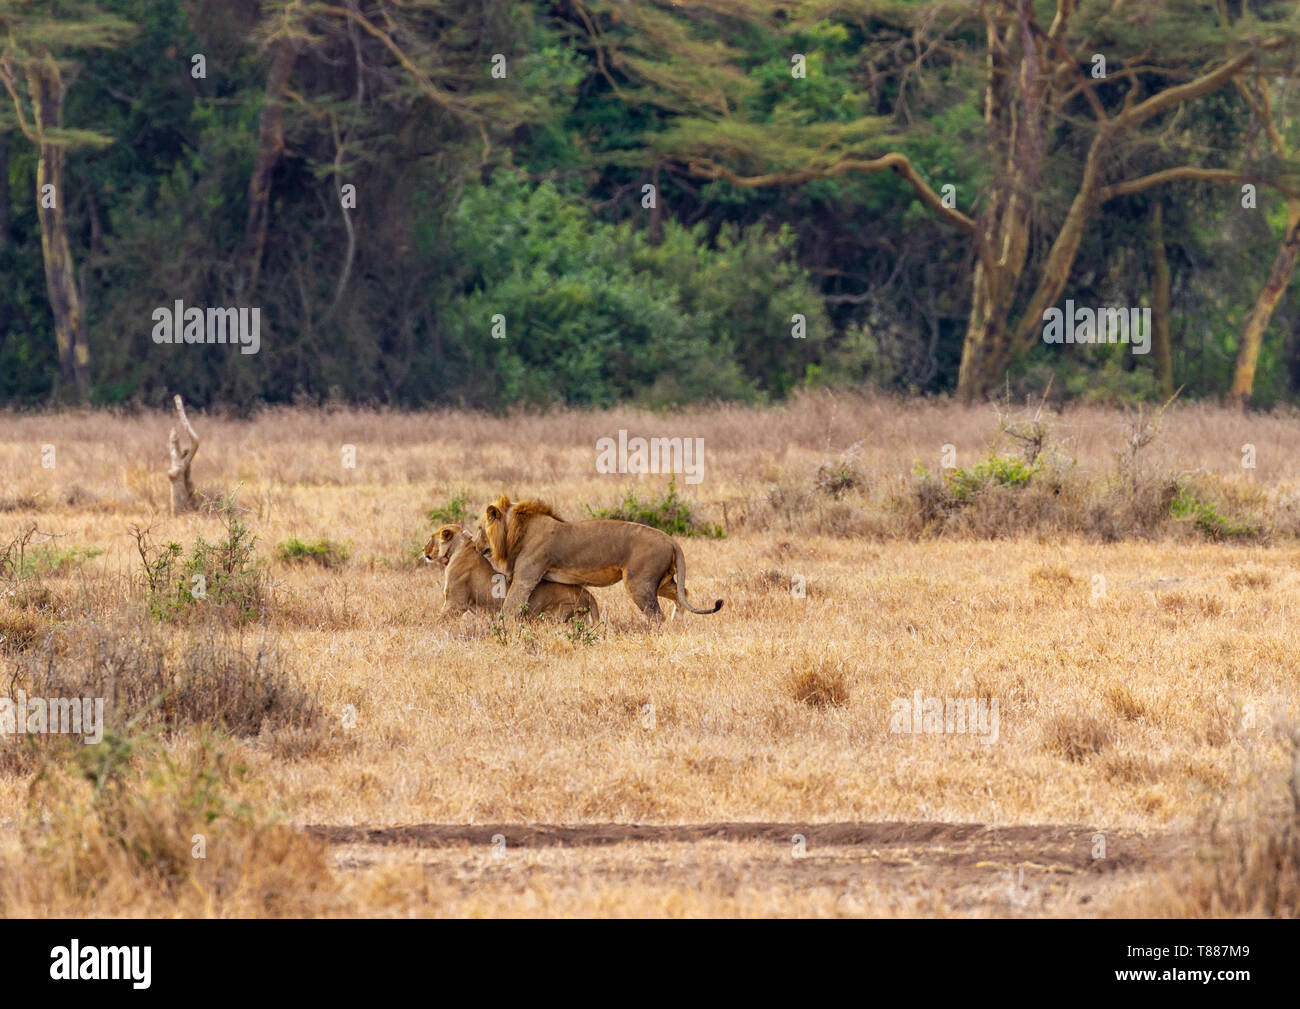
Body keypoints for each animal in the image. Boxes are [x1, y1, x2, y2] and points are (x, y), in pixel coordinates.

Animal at [421, 525, 598, 618]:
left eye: (430, 538)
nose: (423, 550)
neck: (459, 549)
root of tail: (587, 594)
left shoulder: (456, 604)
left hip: (553, 615)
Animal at [483, 494, 722, 626]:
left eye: (481, 526)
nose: (478, 546)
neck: (519, 528)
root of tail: (671, 539)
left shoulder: (526, 576)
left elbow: (510, 607)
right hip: (660, 581)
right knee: (683, 595)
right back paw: (677, 626)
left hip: (639, 583)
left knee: (657, 616)